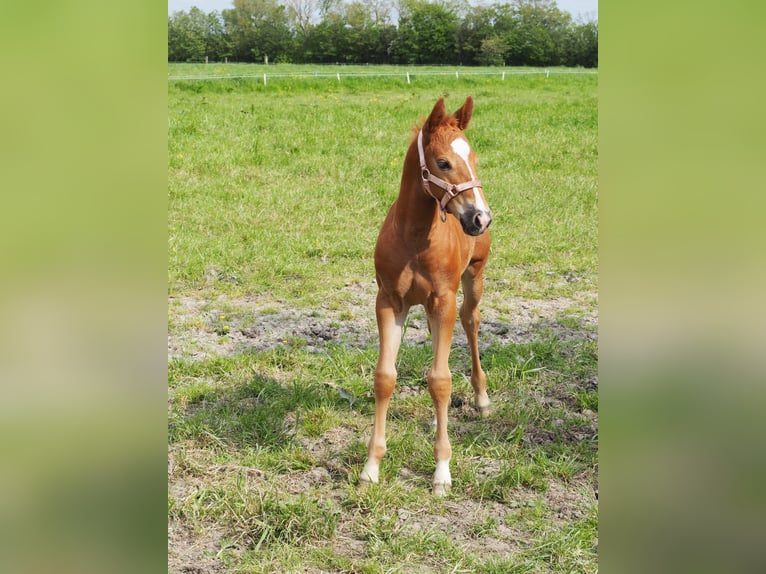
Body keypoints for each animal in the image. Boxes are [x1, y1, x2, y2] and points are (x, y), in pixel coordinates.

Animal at [364, 97, 496, 498]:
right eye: (443, 163)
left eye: (474, 157)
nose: (481, 218)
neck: (414, 236)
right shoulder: (389, 302)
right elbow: (384, 377)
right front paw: (371, 466)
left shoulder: (443, 302)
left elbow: (440, 381)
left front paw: (441, 472)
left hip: (474, 277)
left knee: (472, 320)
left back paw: (482, 398)